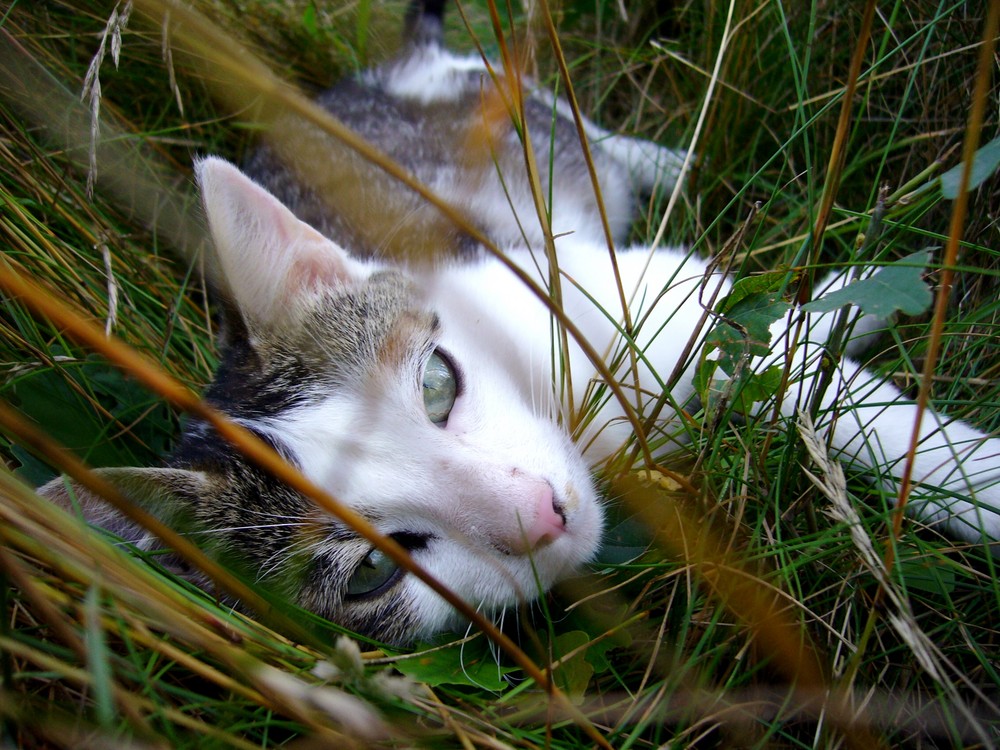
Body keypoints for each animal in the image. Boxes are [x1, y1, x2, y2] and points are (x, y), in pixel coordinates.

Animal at [41, 0, 1000, 648]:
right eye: (375, 571)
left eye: (438, 382)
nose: (541, 514)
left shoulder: (633, 289)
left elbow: (787, 359)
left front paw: (968, 473)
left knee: (571, 124)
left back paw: (679, 162)